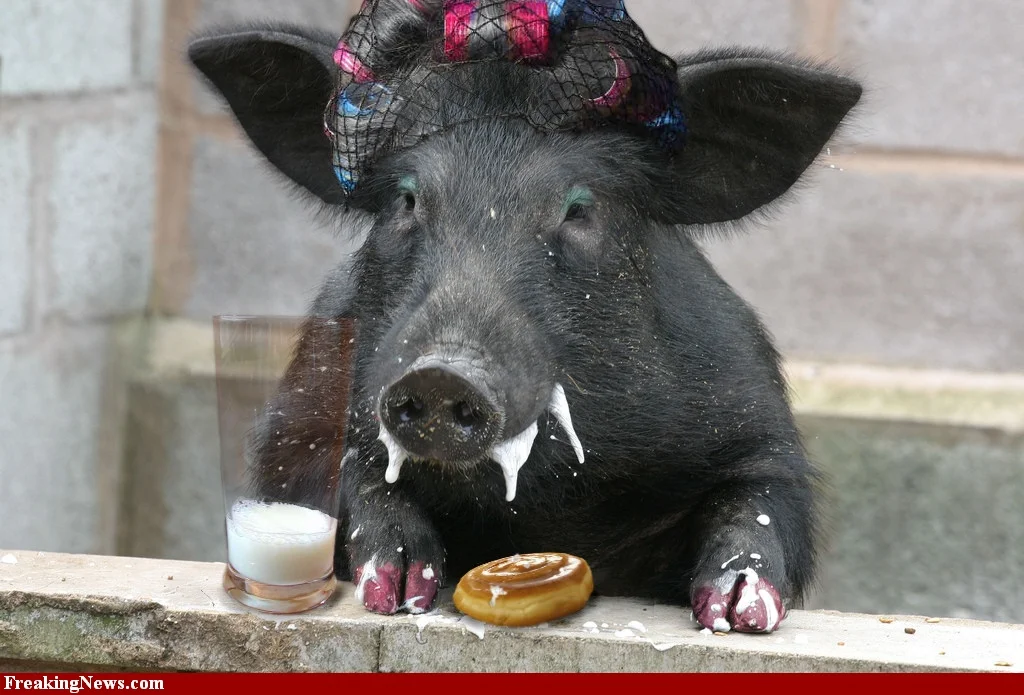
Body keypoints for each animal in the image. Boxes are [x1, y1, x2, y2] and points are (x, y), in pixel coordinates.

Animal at [189, 0, 861, 633]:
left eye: (579, 209)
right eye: (406, 200)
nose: (441, 372)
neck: (547, 506)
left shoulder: (753, 418)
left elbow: (760, 497)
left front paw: (741, 611)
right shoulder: (305, 411)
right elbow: (349, 478)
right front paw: (396, 594)